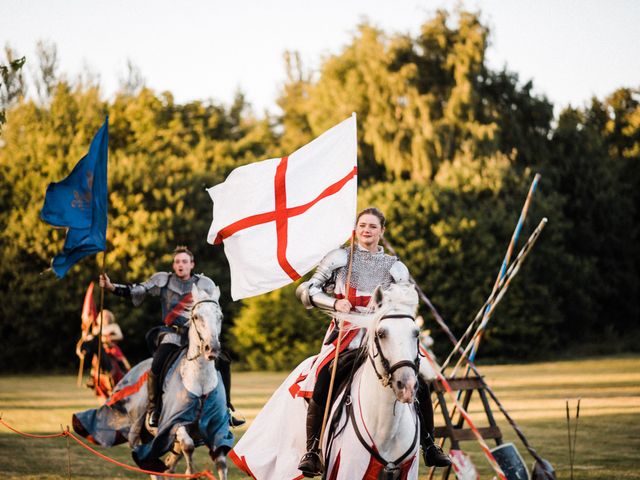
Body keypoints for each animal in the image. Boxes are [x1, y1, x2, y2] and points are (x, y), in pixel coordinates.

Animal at [73, 284, 232, 480]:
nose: (213, 349)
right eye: (196, 316)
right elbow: (188, 445)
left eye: (220, 317)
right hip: (143, 435)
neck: (199, 382)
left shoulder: (217, 428)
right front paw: (190, 473)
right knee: (154, 466)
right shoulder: (174, 424)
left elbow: (221, 462)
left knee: (169, 466)